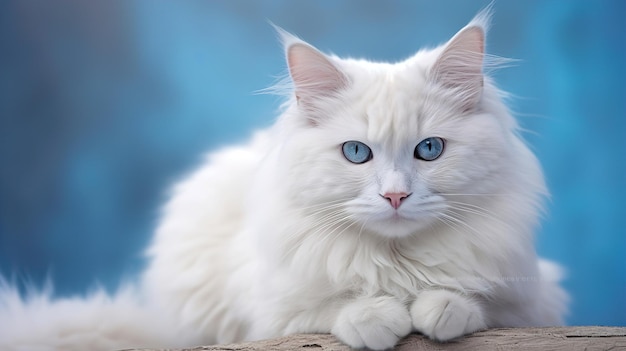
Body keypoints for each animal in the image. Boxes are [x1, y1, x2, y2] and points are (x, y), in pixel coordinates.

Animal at [0, 8, 564, 351]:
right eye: (356, 153)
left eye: (429, 150)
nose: (395, 195)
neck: (396, 265)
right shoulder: (267, 317)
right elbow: (329, 309)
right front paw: (377, 318)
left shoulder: (534, 302)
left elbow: (477, 303)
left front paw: (439, 309)